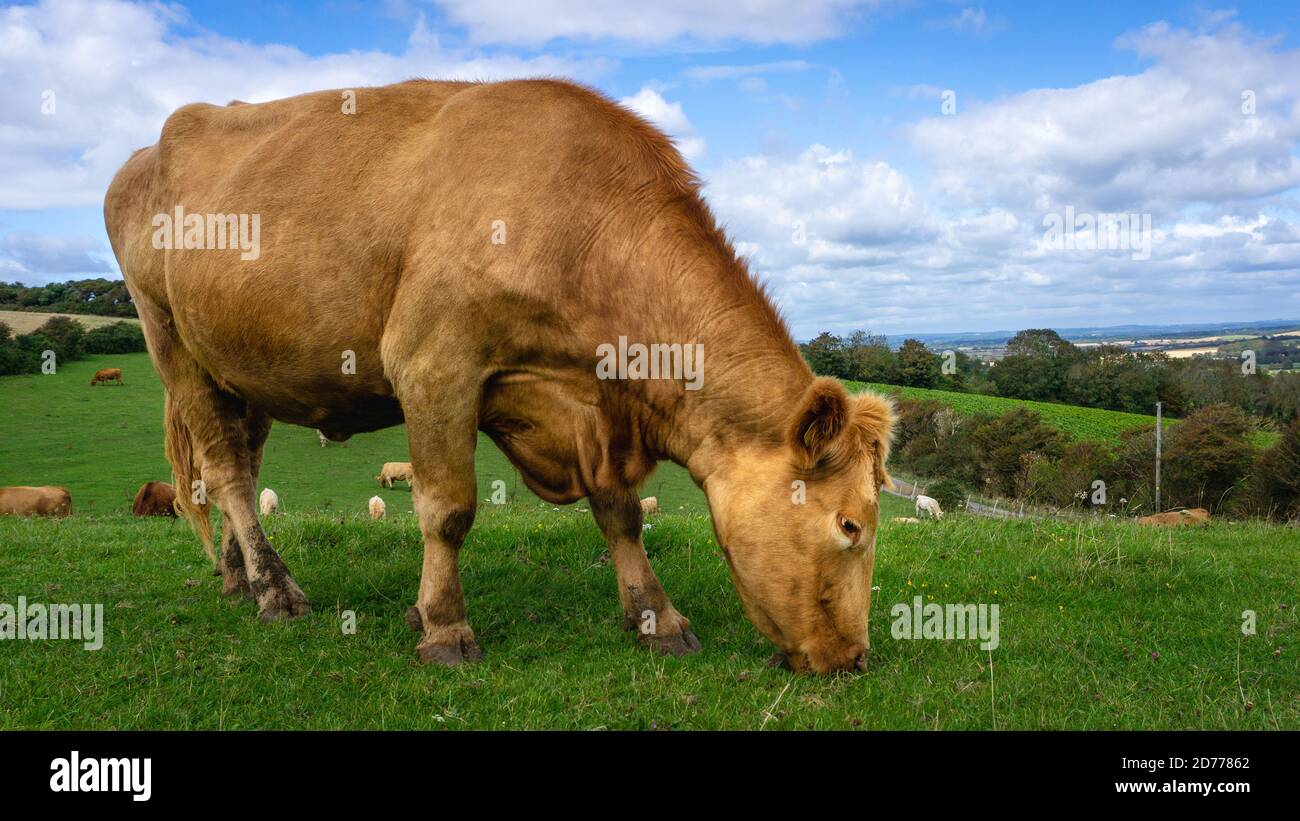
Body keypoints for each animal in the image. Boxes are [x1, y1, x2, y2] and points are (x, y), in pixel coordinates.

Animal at [104, 78, 894, 675]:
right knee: (227, 472)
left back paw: (238, 575)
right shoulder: (433, 365)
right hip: (170, 341)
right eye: (850, 524)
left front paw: (656, 615)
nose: (854, 658)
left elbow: (621, 513)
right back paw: (275, 591)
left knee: (236, 459)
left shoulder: (589, 415)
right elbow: (447, 510)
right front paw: (443, 627)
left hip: (241, 364)